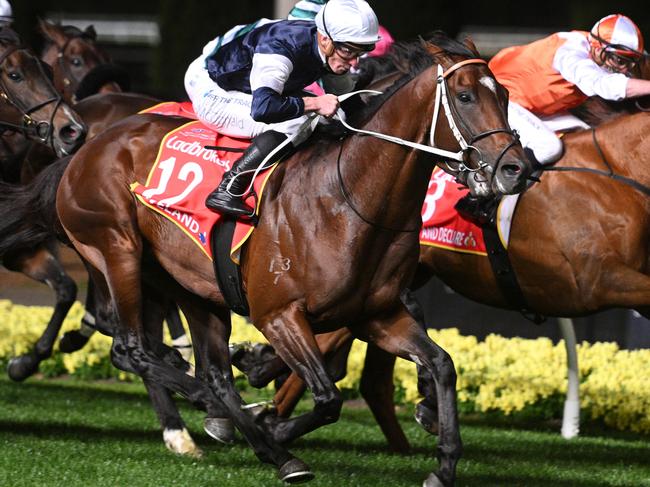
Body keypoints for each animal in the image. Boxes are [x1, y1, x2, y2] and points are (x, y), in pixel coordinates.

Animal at [54, 36, 532, 486]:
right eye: (465, 96)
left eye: (505, 95)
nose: (516, 168)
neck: (349, 201)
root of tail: (89, 145)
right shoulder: (279, 315)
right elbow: (328, 398)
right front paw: (276, 427)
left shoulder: (378, 315)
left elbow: (441, 365)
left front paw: (444, 464)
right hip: (116, 250)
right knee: (131, 350)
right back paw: (226, 418)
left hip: (193, 287)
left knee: (215, 374)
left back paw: (254, 436)